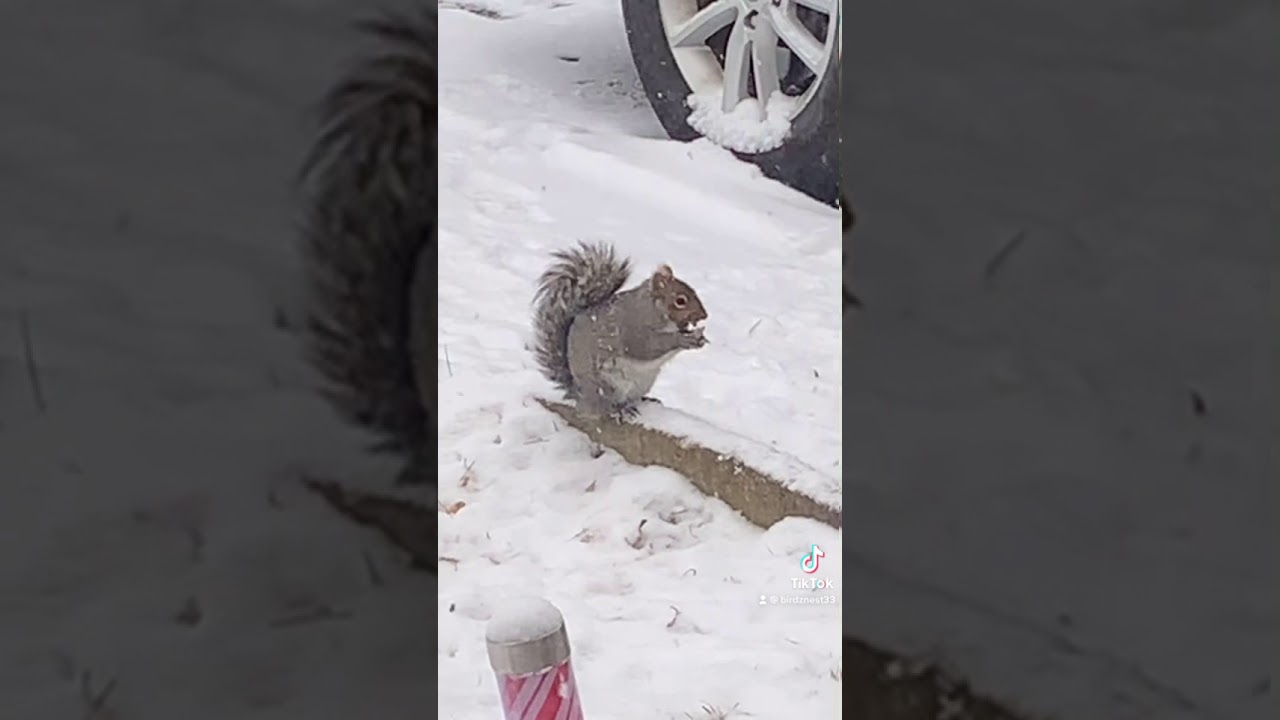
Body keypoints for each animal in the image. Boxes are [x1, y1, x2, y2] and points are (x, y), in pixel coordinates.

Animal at [532, 242, 709, 418]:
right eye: (680, 300)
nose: (704, 315)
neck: (653, 308)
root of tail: (579, 394)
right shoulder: (634, 327)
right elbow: (647, 346)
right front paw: (682, 339)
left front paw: (698, 339)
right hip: (606, 383)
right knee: (605, 405)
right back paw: (619, 409)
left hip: (642, 383)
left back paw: (645, 400)